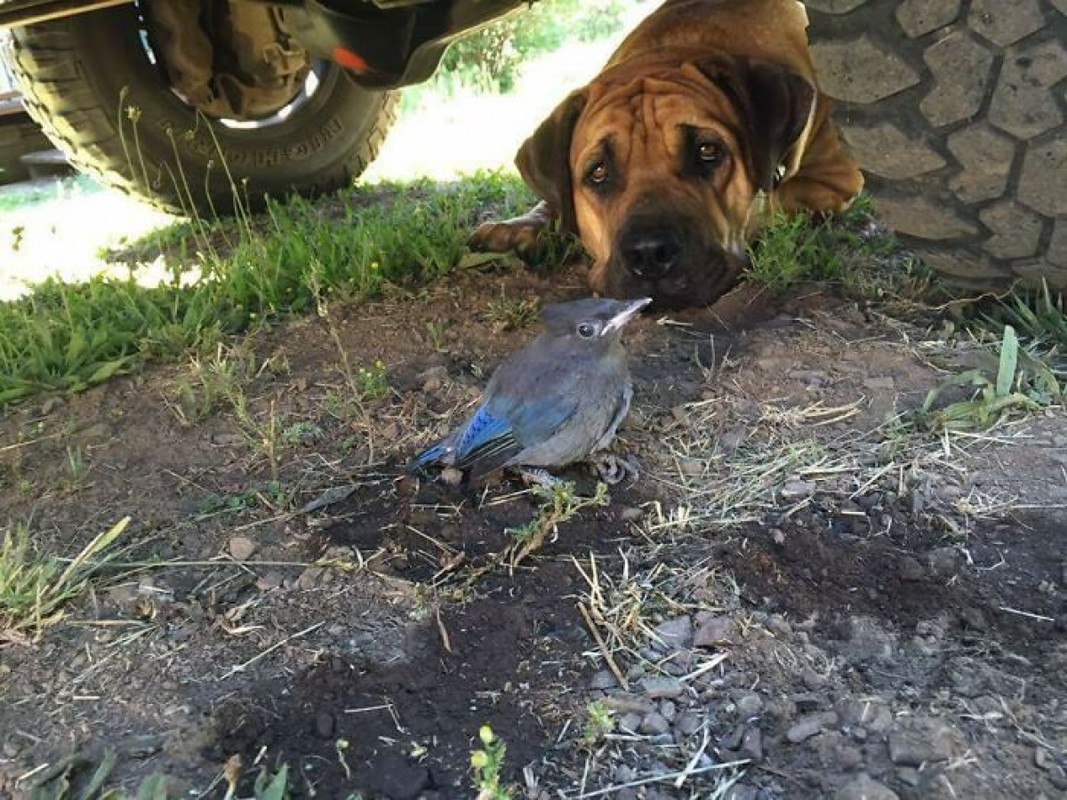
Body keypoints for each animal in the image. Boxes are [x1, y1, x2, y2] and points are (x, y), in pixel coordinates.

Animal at [471, 0, 862, 309]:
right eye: (598, 172)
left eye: (707, 151)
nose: (649, 253)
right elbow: (553, 202)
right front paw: (519, 227)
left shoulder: (835, 177)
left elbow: (773, 201)